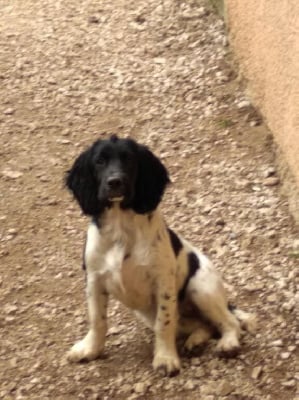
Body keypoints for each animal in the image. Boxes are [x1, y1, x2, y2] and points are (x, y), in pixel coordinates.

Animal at [65, 134, 255, 376]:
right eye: (99, 161)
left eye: (129, 160)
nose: (114, 182)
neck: (121, 227)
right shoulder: (94, 279)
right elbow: (97, 320)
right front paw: (90, 349)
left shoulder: (162, 282)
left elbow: (163, 323)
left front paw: (165, 359)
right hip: (151, 313)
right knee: (205, 325)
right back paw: (196, 341)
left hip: (201, 289)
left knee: (229, 322)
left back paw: (228, 343)